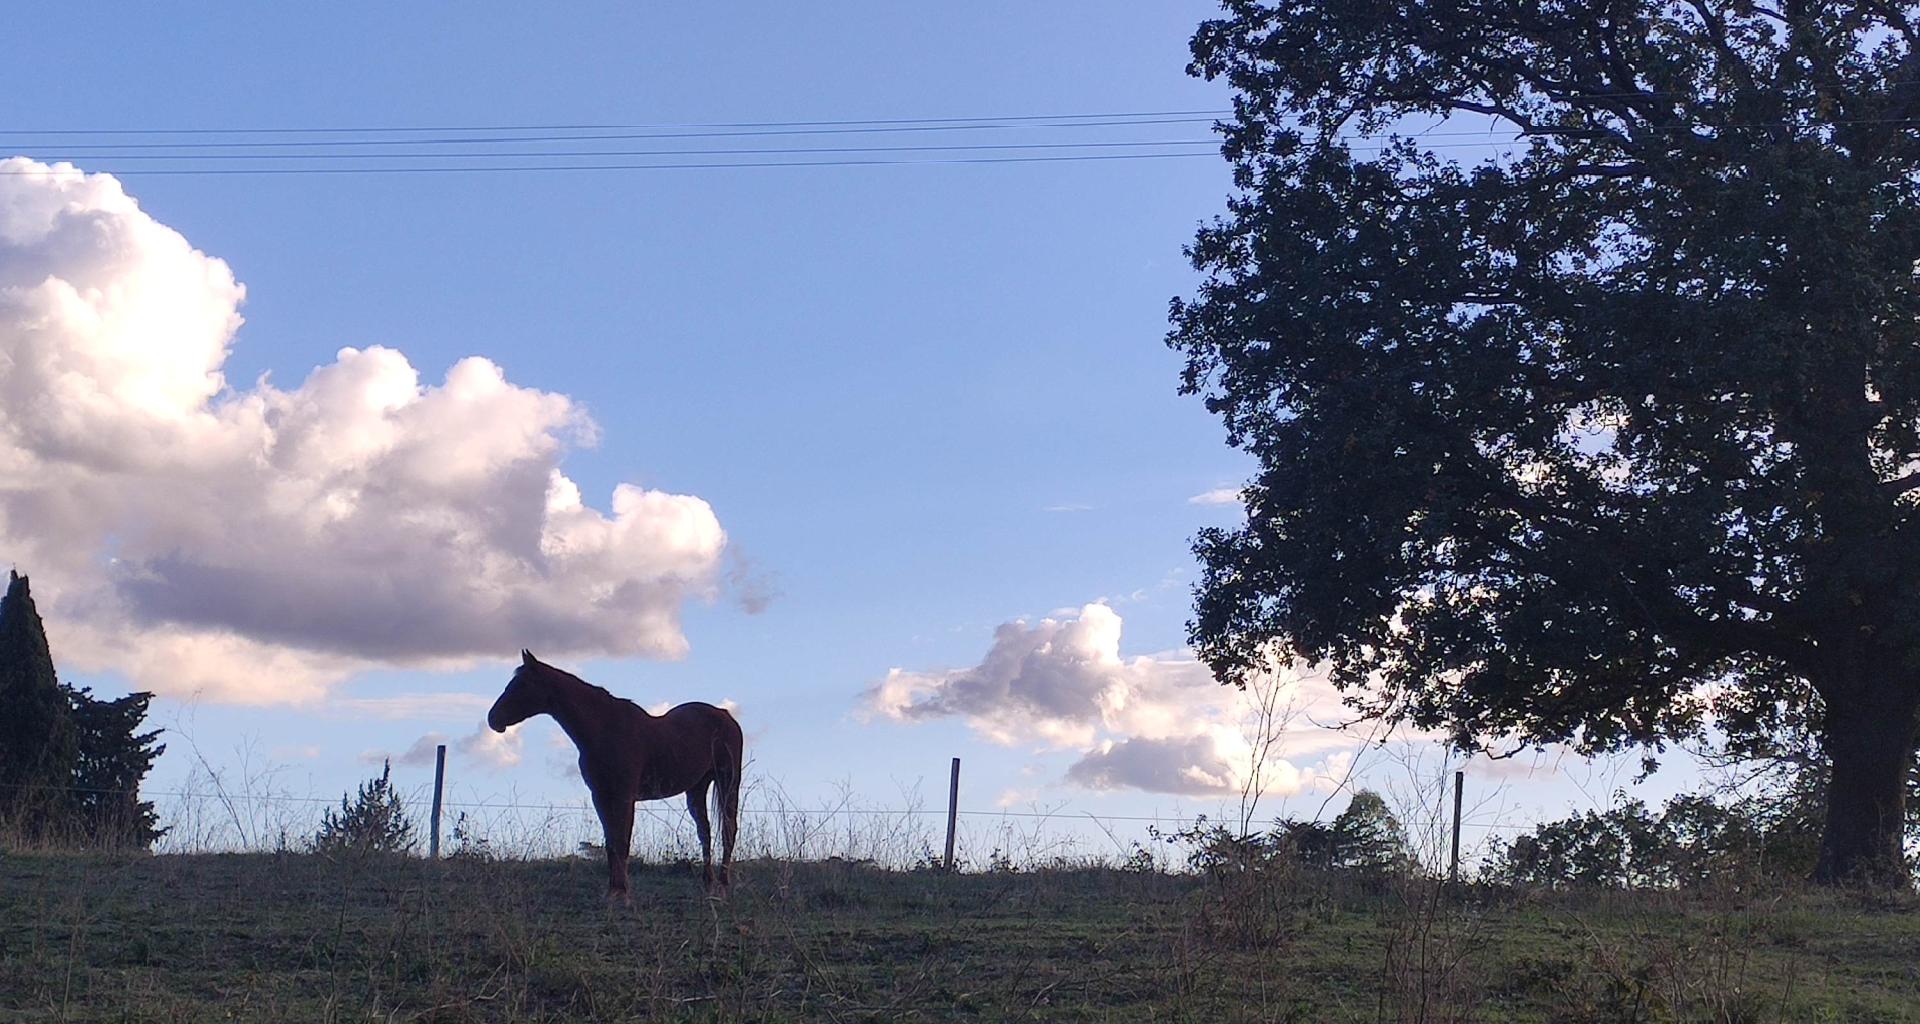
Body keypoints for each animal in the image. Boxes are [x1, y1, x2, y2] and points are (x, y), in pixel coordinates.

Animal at [487, 650, 743, 898]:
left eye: (522, 684)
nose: (493, 719)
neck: (605, 729)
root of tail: (725, 716)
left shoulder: (623, 797)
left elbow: (622, 841)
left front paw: (622, 892)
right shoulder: (601, 796)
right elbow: (611, 843)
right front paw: (613, 891)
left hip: (728, 781)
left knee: (728, 829)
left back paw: (722, 884)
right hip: (697, 788)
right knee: (705, 831)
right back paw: (707, 883)